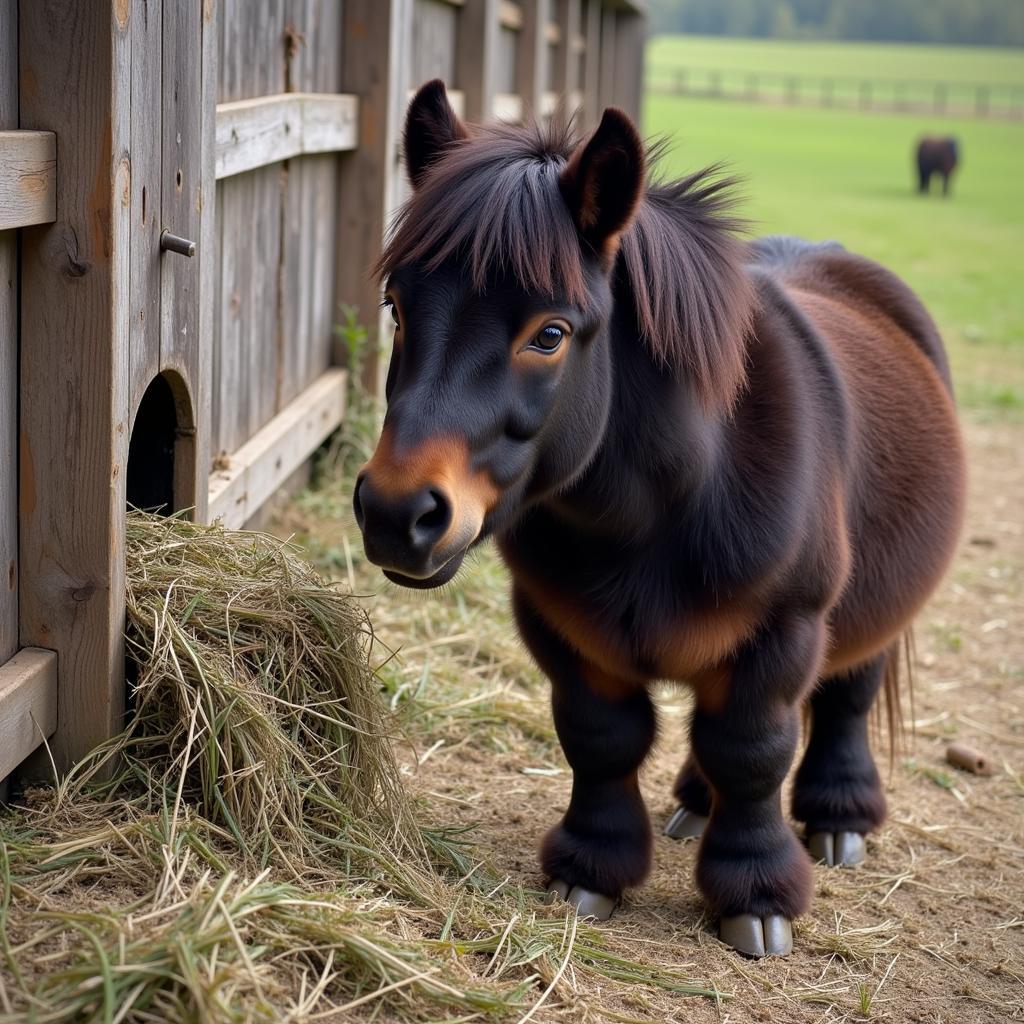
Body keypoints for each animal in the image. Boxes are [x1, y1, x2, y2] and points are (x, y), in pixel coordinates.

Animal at [356, 81, 962, 958]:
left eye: (550, 333)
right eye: (397, 307)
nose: (397, 512)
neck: (654, 514)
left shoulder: (782, 635)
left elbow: (752, 752)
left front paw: (757, 894)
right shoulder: (565, 631)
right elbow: (602, 738)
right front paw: (593, 870)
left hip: (868, 615)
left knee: (845, 699)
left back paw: (839, 816)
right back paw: (694, 803)